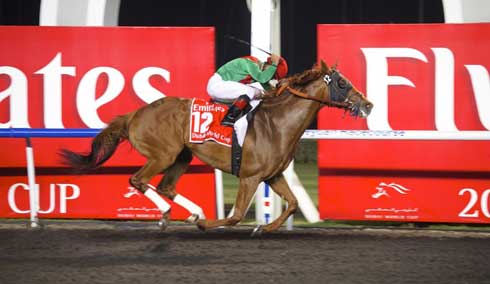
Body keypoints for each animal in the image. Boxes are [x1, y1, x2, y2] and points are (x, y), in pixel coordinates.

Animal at [60, 60, 372, 235]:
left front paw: (264, 226)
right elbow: (235, 216)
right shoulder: (250, 176)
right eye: (342, 82)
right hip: (163, 154)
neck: (278, 123)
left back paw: (193, 211)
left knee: (165, 186)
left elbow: (293, 203)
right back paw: (171, 215)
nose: (368, 104)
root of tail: (135, 114)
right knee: (138, 180)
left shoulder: (273, 175)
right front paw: (209, 225)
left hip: (182, 155)